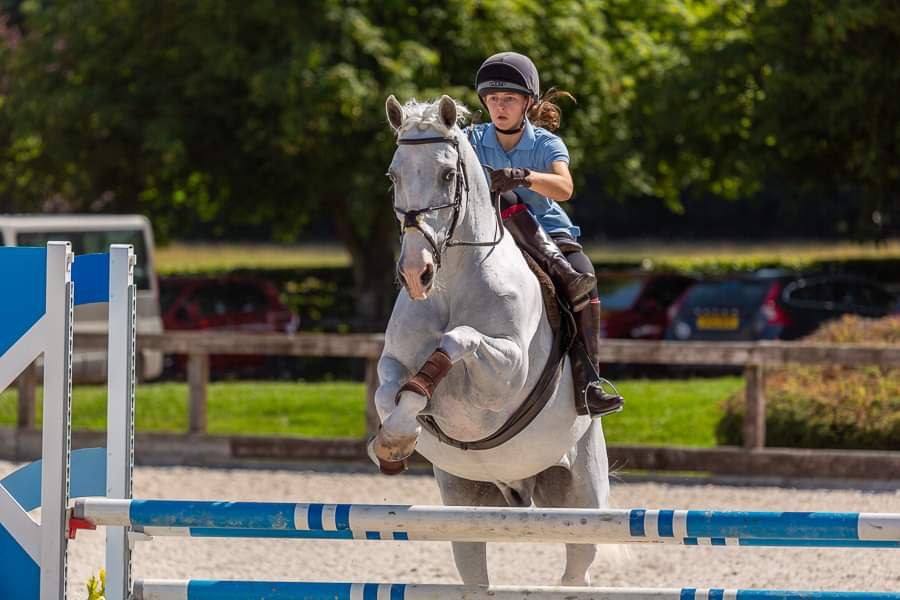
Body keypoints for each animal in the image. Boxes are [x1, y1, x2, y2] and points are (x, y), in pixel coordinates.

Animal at [370, 95, 612, 584]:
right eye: (393, 175)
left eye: (448, 174)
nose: (416, 273)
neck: (451, 281)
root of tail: (518, 487)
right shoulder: (394, 362)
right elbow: (389, 393)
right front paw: (394, 441)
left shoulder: (507, 371)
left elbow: (458, 340)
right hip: (467, 502)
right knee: (474, 571)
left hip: (581, 497)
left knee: (576, 569)